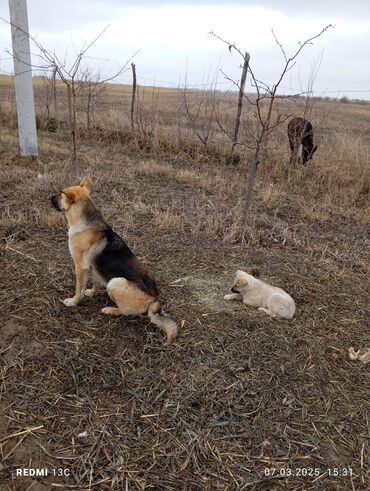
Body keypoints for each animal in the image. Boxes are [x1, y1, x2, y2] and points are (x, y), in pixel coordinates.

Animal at [50, 178, 178, 346]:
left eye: (60, 194)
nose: (49, 198)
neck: (85, 223)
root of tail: (154, 299)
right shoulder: (93, 268)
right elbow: (95, 282)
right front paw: (91, 292)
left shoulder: (80, 267)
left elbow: (79, 288)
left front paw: (73, 301)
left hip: (115, 282)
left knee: (125, 312)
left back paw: (110, 310)